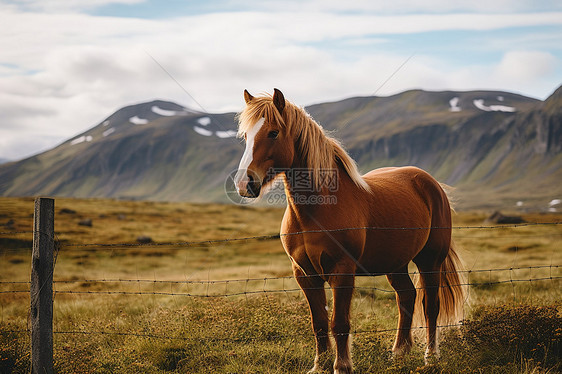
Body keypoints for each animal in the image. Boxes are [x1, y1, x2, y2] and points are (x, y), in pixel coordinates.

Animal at [232, 89, 464, 372]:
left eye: (273, 133)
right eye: (245, 136)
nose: (244, 183)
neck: (315, 211)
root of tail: (431, 183)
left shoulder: (342, 272)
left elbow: (339, 323)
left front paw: (341, 366)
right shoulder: (305, 275)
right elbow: (319, 324)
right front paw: (319, 366)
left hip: (430, 260)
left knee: (430, 305)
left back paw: (430, 356)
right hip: (396, 264)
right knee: (406, 298)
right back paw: (398, 352)